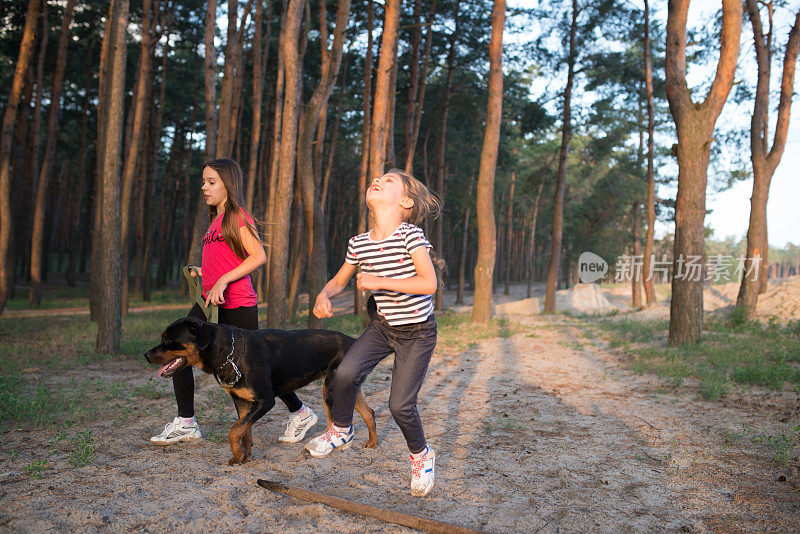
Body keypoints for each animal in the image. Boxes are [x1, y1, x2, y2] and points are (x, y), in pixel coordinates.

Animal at [145, 318, 378, 464]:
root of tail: (353, 340)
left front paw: (238, 452)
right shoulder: (242, 402)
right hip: (345, 386)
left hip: (330, 388)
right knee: (369, 412)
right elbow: (244, 430)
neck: (228, 353)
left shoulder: (265, 400)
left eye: (169, 340)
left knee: (334, 421)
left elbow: (234, 430)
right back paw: (372, 443)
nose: (146, 355)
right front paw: (243, 456)